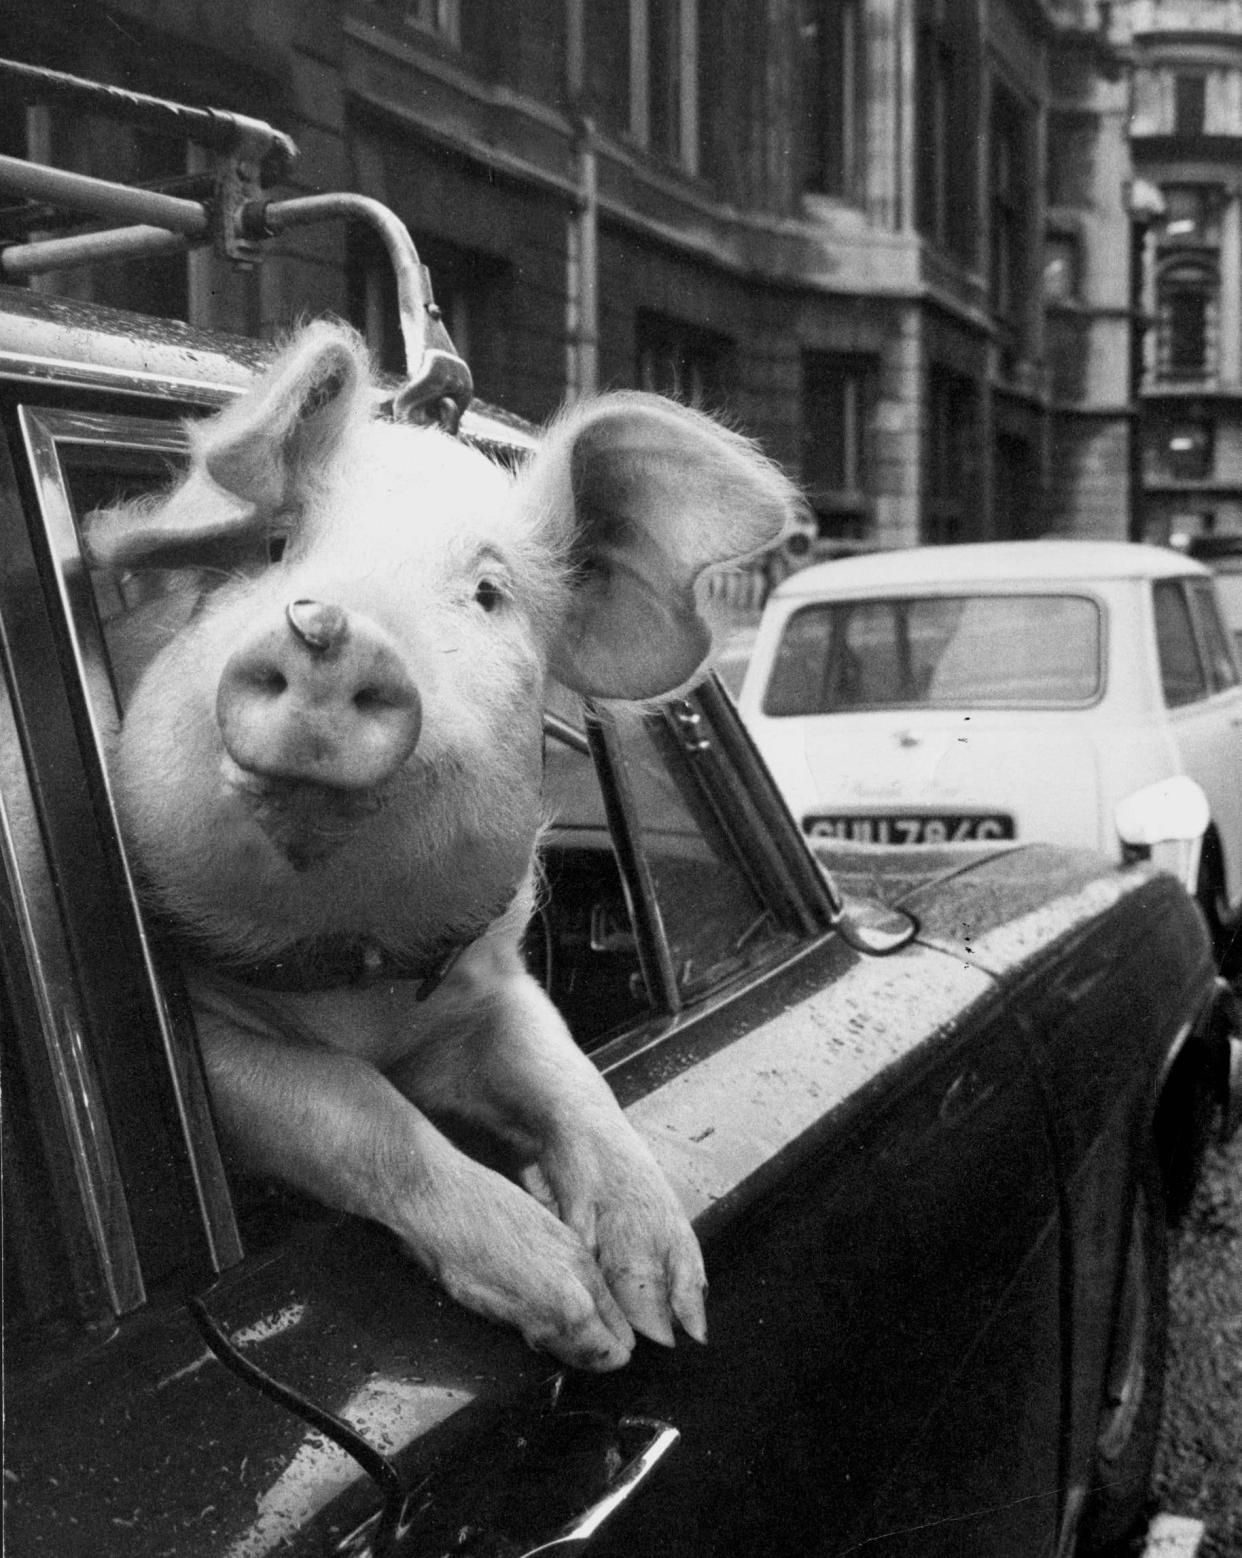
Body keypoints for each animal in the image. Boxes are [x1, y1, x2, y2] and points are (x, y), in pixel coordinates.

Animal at [91, 322, 797, 1371]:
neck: (355, 969)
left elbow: (565, 1069)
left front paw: (665, 1316)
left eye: (490, 593)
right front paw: (584, 1318)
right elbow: (353, 1110)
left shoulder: (487, 977)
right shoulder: (210, 1050)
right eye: (275, 546)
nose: (330, 628)